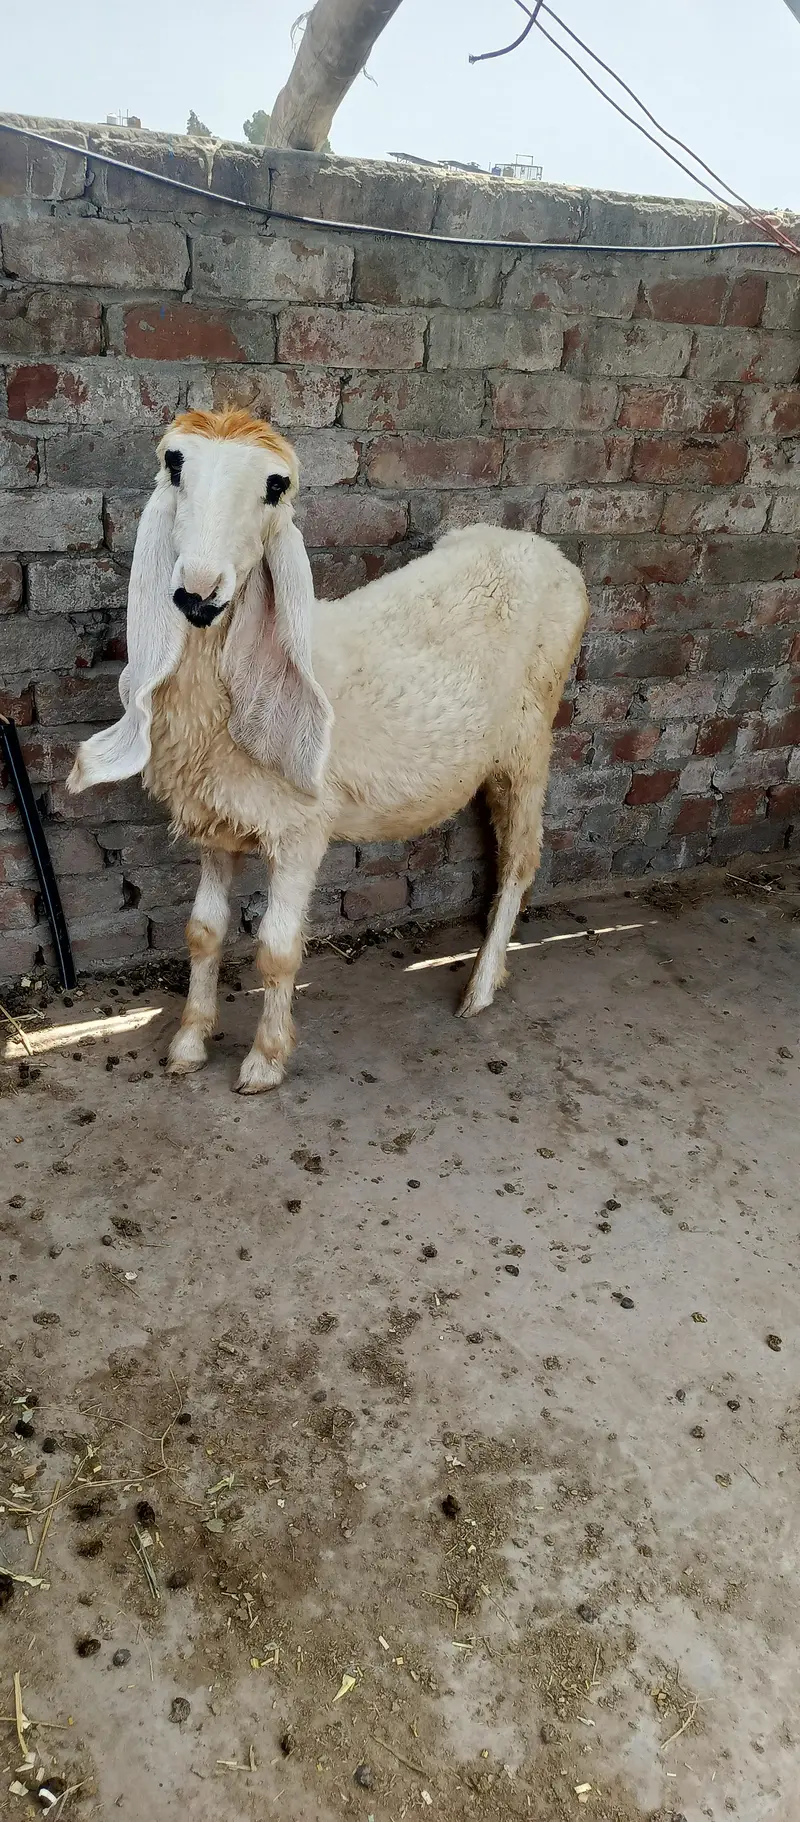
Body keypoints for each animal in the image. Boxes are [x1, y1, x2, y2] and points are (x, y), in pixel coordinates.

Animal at [68, 407, 589, 1093]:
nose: (196, 594)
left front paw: (264, 1060)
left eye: (275, 486)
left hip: (529, 743)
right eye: (175, 464)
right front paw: (188, 1042)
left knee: (521, 861)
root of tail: (540, 547)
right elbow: (203, 932)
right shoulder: (216, 822)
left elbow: (277, 949)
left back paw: (480, 987)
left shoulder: (301, 829)